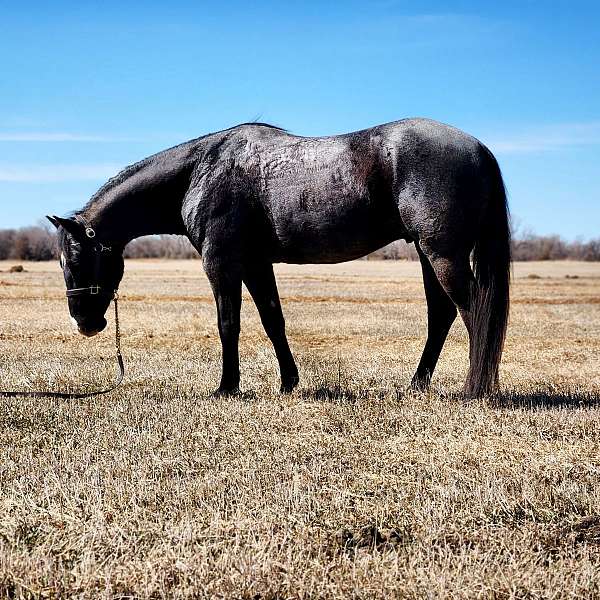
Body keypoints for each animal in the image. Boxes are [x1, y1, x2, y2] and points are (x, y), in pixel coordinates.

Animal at [48, 117, 510, 398]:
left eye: (76, 259)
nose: (84, 324)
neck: (200, 171)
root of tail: (479, 149)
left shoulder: (221, 263)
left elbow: (228, 324)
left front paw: (227, 388)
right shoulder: (256, 264)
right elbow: (273, 320)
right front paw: (288, 382)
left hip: (442, 254)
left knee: (473, 310)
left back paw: (474, 389)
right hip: (427, 254)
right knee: (442, 315)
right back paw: (415, 386)